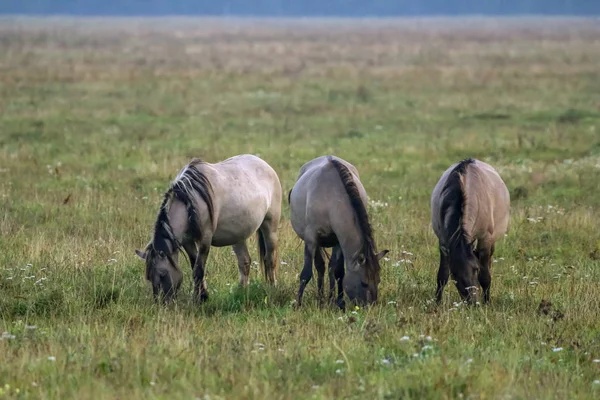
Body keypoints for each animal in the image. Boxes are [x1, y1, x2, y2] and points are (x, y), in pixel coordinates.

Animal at [137, 155, 282, 302]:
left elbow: (198, 270)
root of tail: (264, 164)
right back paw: (241, 291)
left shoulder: (205, 240)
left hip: (270, 228)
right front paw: (203, 295)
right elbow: (194, 265)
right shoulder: (187, 241)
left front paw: (197, 299)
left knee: (270, 259)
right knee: (244, 262)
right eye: (149, 277)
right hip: (238, 236)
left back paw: (272, 288)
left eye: (162, 274)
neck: (191, 201)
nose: (162, 303)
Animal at [290, 155, 390, 308]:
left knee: (330, 268)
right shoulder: (311, 239)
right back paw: (320, 298)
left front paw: (339, 302)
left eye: (378, 280)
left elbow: (338, 273)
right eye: (364, 283)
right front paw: (298, 304)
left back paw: (329, 298)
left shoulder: (339, 240)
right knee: (320, 267)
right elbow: (306, 273)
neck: (330, 200)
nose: (371, 307)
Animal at [432, 158, 510, 304]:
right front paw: (437, 302)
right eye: (454, 274)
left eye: (476, 269)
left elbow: (485, 276)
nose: (472, 302)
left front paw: (487, 302)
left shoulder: (485, 239)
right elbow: (442, 275)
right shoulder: (444, 241)